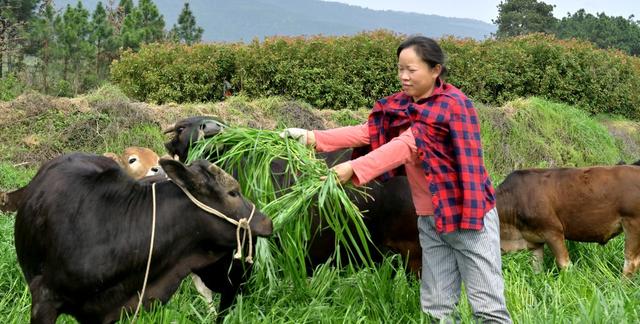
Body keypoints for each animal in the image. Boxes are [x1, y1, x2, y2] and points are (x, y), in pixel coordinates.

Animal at [498, 166, 640, 278]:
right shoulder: (535, 240)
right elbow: (537, 268)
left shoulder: (553, 231)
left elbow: (565, 264)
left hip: (633, 225)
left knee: (631, 262)